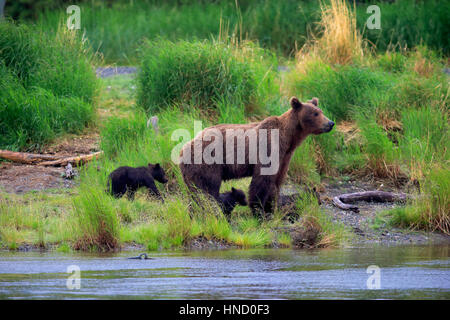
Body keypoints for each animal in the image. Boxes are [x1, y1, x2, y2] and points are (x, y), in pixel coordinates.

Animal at [179, 97, 334, 218]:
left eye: (321, 111)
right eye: (315, 113)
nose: (330, 123)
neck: (289, 139)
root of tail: (182, 150)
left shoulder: (284, 157)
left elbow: (276, 182)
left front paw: (271, 208)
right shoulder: (268, 148)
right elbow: (261, 182)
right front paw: (258, 210)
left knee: (195, 193)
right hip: (207, 163)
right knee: (207, 191)